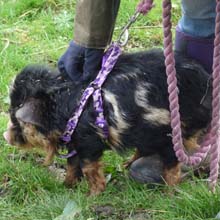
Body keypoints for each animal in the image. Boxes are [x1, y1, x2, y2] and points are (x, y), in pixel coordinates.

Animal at [3, 49, 212, 194]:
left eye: (15, 117)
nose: (5, 135)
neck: (65, 110)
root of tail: (205, 82)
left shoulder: (88, 142)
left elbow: (89, 168)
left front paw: (92, 195)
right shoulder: (74, 142)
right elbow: (71, 166)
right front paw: (65, 187)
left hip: (170, 131)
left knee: (173, 165)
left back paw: (168, 193)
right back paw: (126, 165)